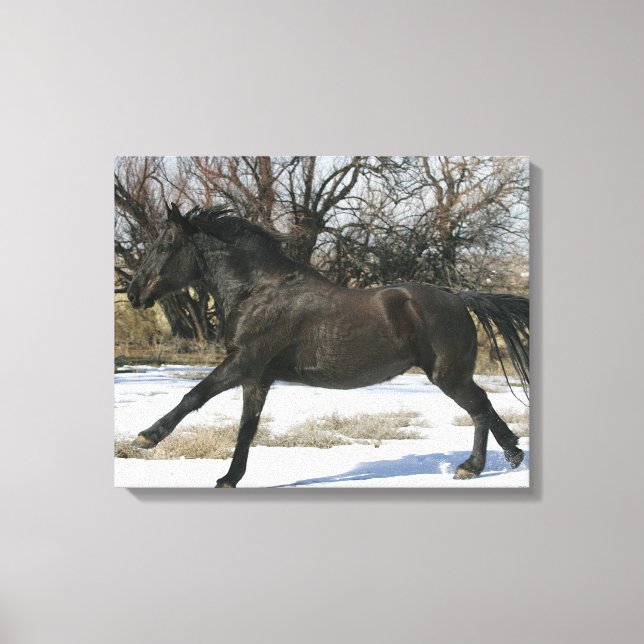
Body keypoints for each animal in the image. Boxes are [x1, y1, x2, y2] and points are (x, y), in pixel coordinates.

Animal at [126, 203, 529, 487]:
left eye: (166, 245)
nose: (133, 293)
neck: (258, 291)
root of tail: (459, 299)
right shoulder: (258, 378)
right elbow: (247, 427)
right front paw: (229, 479)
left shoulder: (242, 363)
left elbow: (194, 395)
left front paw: (146, 437)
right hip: (455, 374)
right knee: (486, 406)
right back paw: (513, 455)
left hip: (448, 375)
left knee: (479, 410)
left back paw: (471, 468)